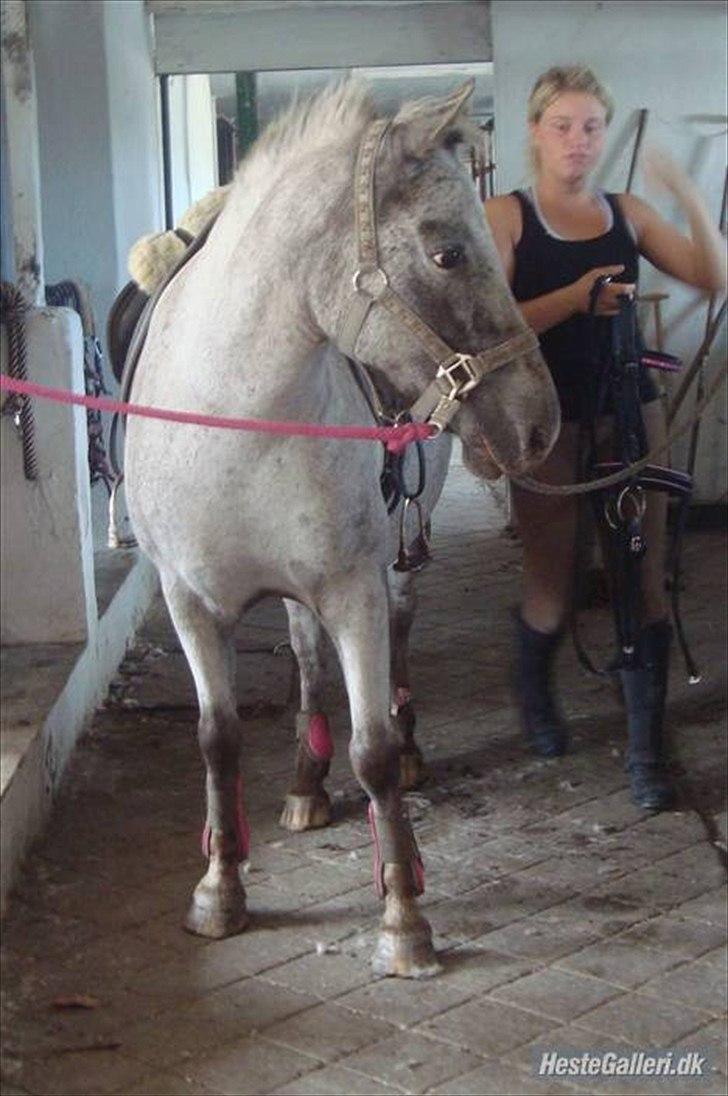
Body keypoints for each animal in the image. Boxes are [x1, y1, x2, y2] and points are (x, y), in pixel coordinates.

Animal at [125, 79, 560, 978]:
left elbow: (376, 752)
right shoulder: (188, 601)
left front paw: (403, 915)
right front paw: (220, 888)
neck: (230, 419)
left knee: (399, 634)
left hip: (393, 564)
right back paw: (302, 783)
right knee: (302, 658)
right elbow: (217, 737)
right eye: (447, 253)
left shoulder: (354, 589)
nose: (540, 425)